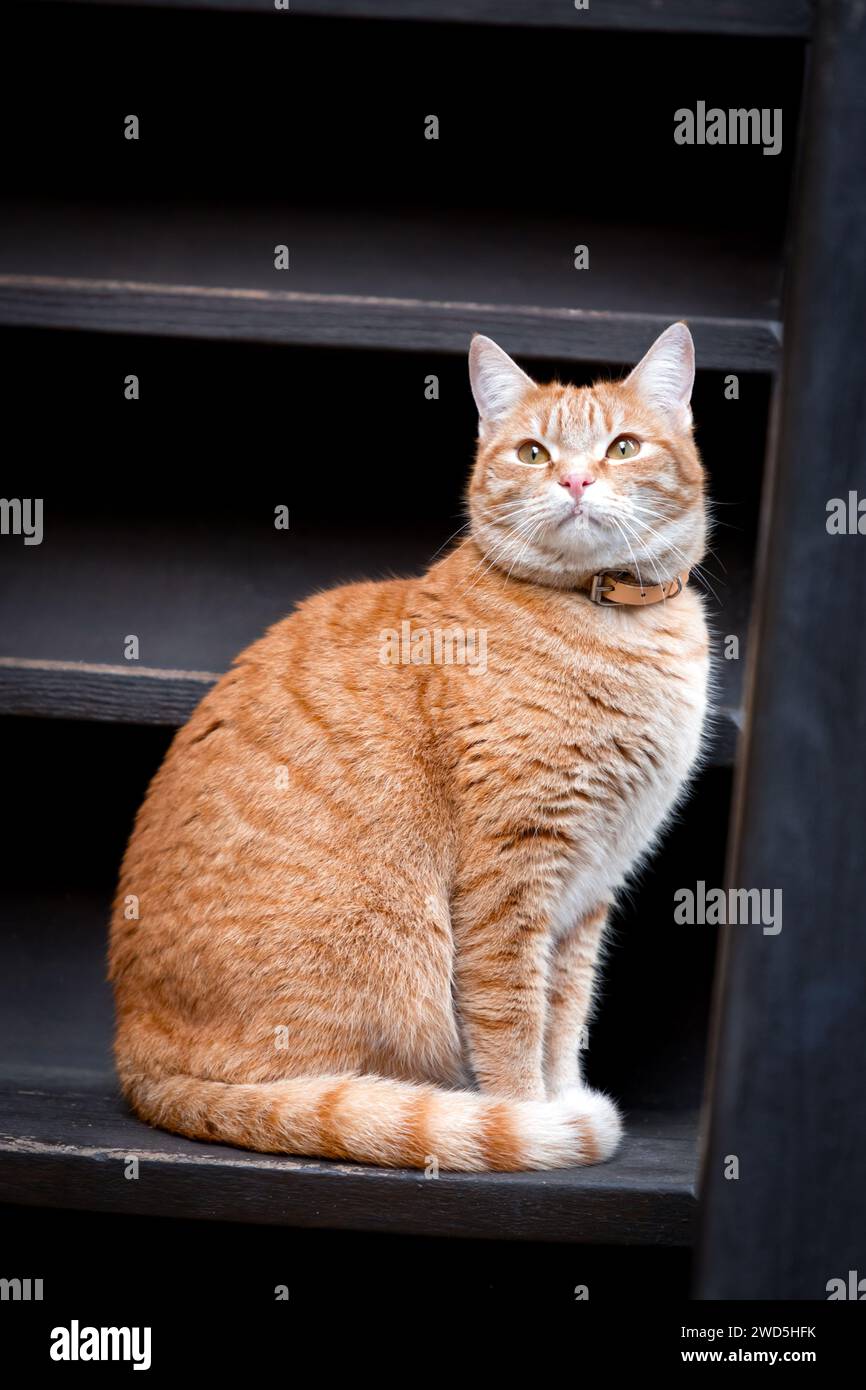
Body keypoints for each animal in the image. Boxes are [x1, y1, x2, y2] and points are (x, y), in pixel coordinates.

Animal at [111, 319, 711, 1167]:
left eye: (622, 447)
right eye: (534, 453)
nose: (576, 482)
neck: (611, 624)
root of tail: (137, 1059)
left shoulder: (589, 888)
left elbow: (566, 1015)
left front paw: (561, 1096)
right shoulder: (511, 875)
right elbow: (513, 1018)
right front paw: (531, 1117)